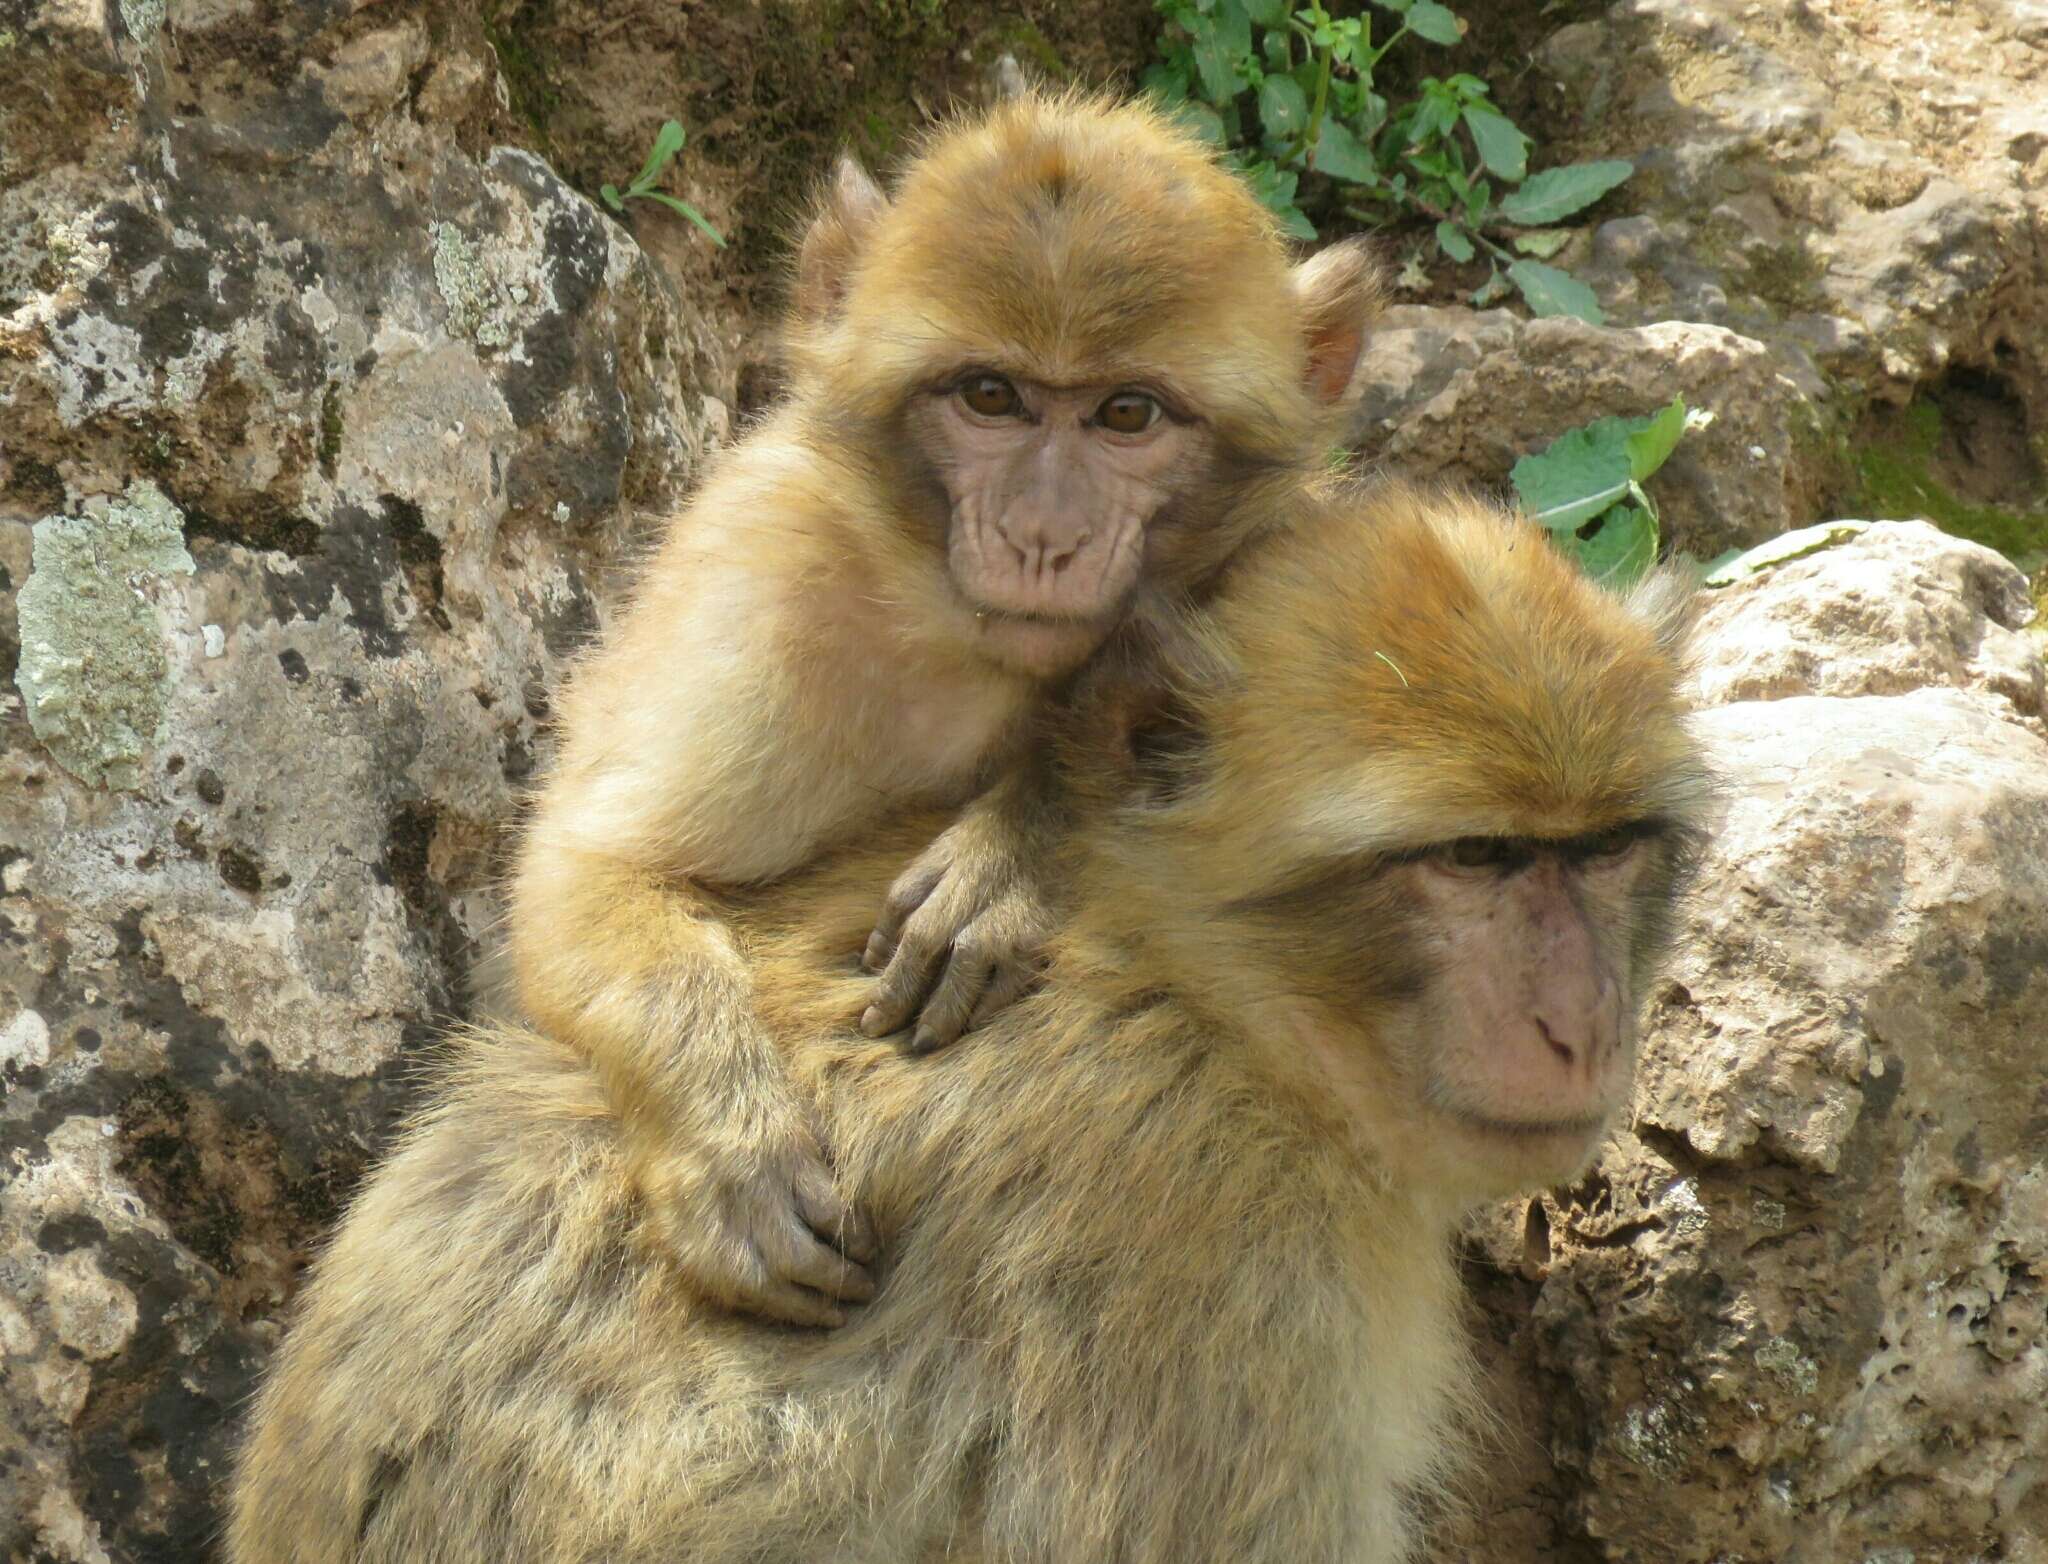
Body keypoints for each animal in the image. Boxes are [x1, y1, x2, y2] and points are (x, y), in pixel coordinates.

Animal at [503, 91, 1384, 1326]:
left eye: (1127, 413)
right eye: (989, 397)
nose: (1043, 534)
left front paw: (1012, 851)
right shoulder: (761, 585)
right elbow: (591, 869)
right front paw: (731, 1150)